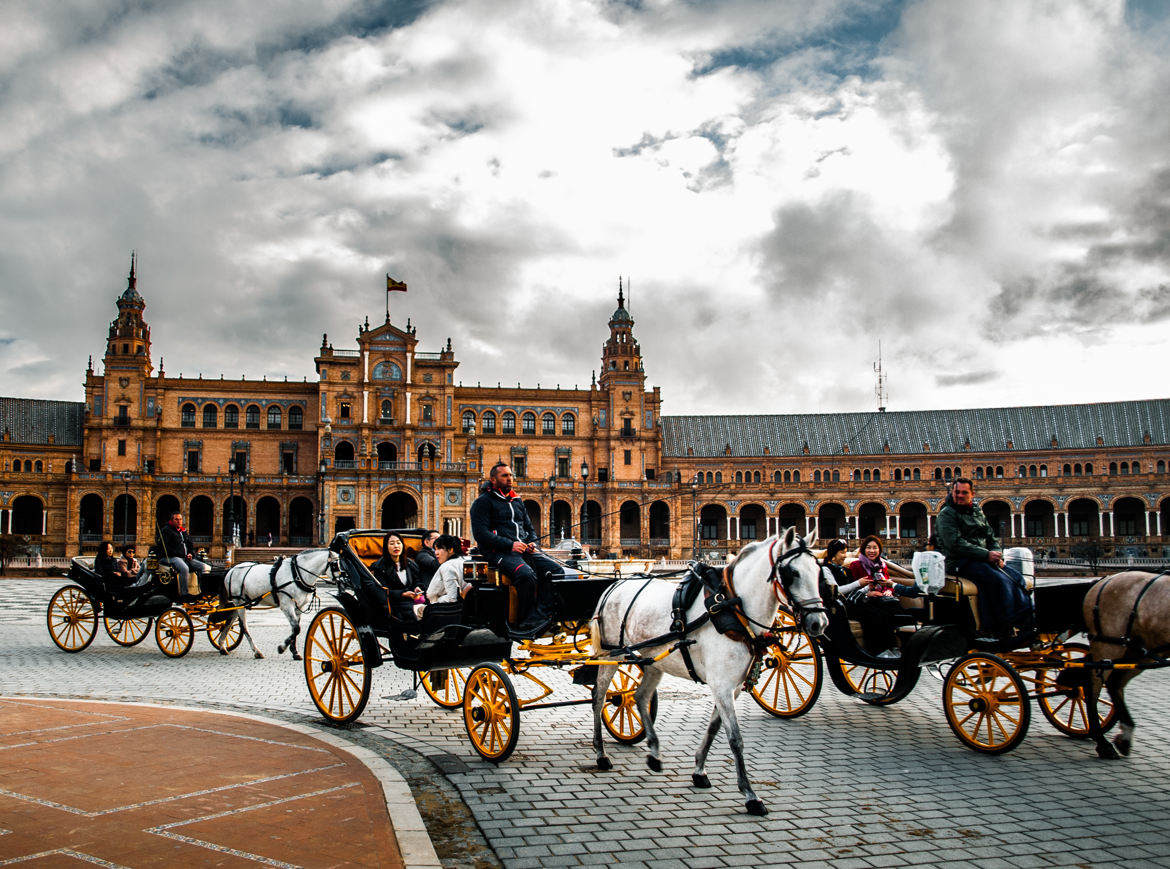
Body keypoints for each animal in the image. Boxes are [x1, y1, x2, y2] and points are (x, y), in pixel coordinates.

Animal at [589, 526, 828, 818]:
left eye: (818, 572)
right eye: (792, 573)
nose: (819, 623)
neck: (734, 607)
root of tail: (615, 584)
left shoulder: (731, 687)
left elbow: (715, 728)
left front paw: (699, 771)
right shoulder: (721, 685)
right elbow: (735, 738)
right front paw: (750, 795)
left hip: (654, 661)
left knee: (640, 697)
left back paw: (654, 753)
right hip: (611, 655)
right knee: (599, 697)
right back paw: (601, 755)